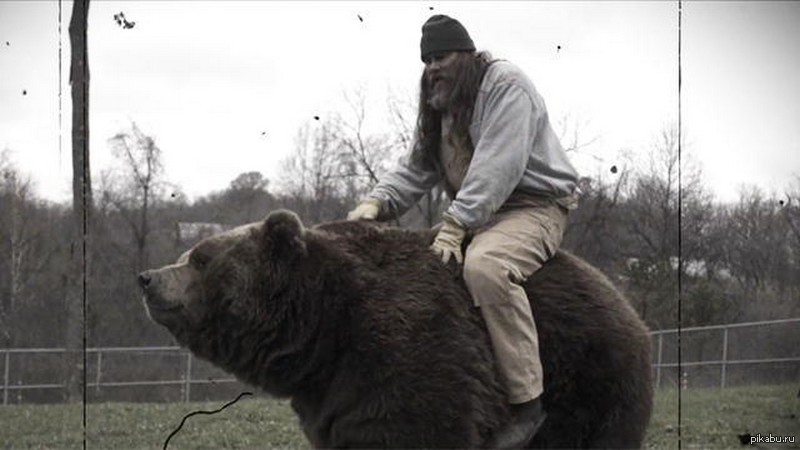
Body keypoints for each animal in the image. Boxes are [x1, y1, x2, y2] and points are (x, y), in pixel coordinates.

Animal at [138, 209, 652, 448]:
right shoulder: (332, 396)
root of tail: (624, 301)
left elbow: (416, 427)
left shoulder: (413, 350)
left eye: (201, 257)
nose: (147, 278)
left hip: (589, 381)